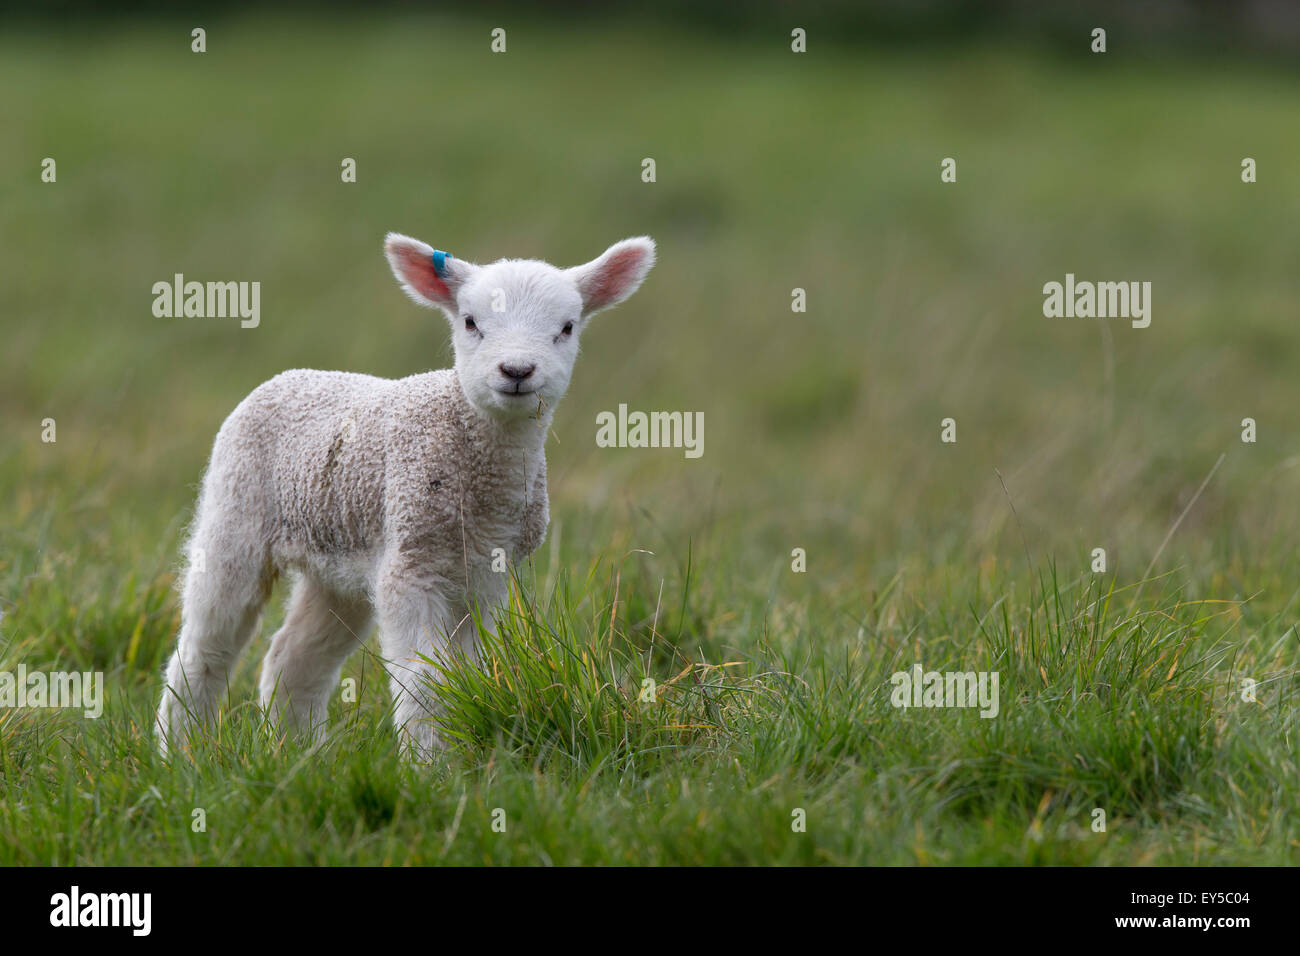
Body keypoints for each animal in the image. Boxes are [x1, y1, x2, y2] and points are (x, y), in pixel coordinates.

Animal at [156, 233, 657, 758]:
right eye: (470, 322)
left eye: (567, 327)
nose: (517, 370)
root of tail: (289, 375)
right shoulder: (411, 564)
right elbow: (425, 681)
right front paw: (429, 765)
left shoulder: (485, 576)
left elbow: (469, 676)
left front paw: (457, 753)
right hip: (235, 514)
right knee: (204, 649)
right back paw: (182, 755)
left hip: (341, 563)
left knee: (293, 658)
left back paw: (299, 755)